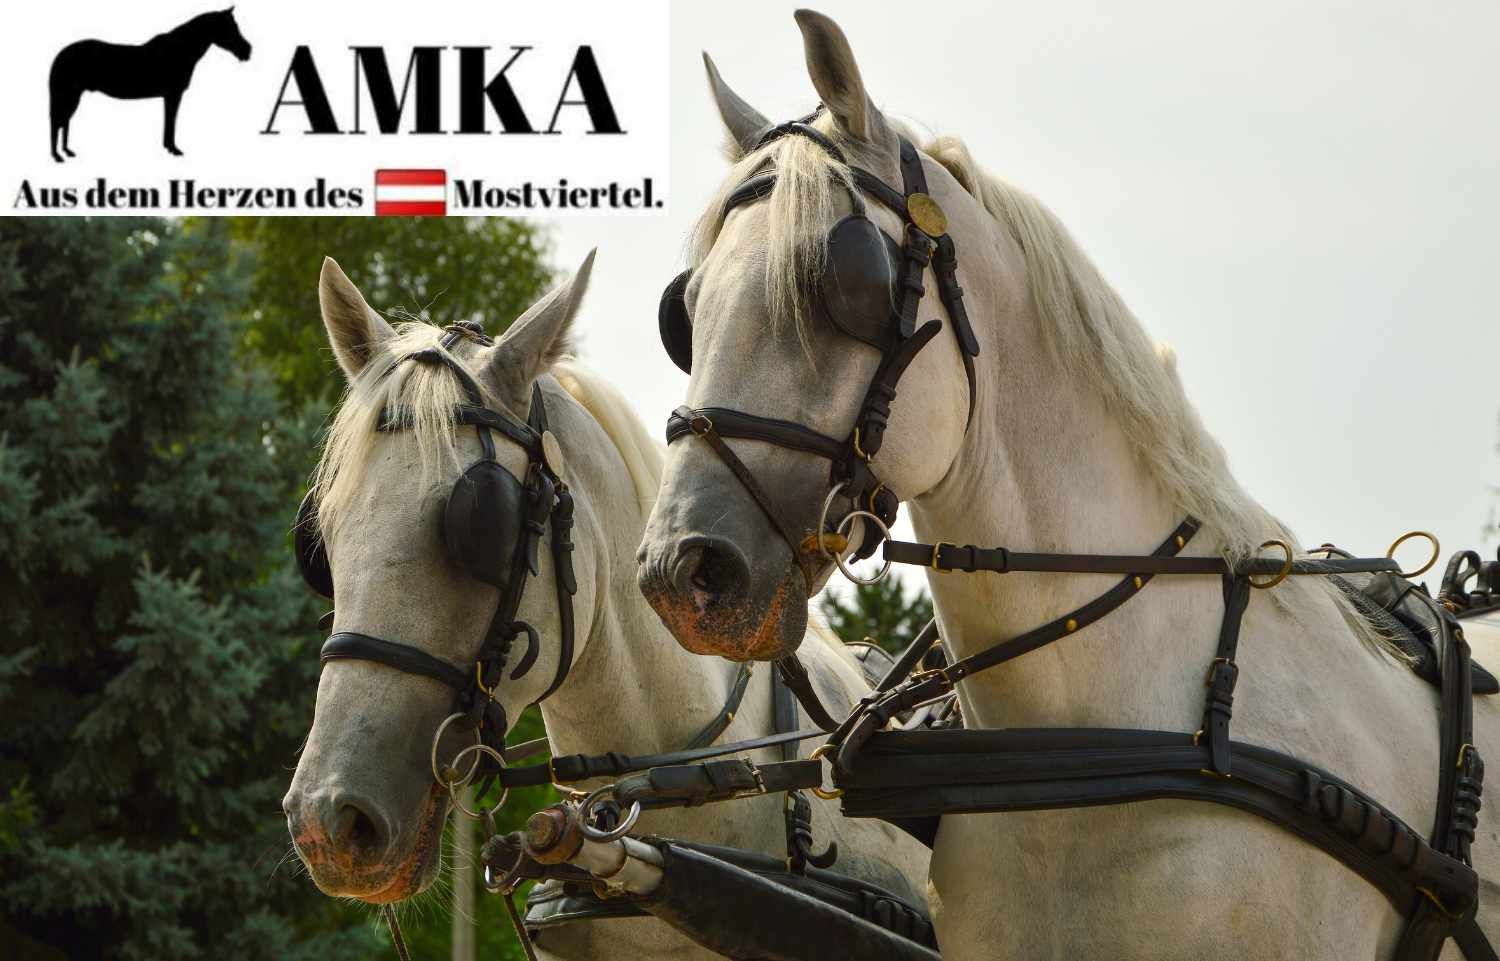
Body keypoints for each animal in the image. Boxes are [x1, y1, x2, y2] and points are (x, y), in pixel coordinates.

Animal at [48, 7, 251, 162]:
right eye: (230, 28)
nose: (247, 50)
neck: (179, 51)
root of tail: (61, 55)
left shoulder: (170, 96)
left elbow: (170, 121)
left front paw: (169, 147)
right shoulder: (173, 95)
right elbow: (171, 121)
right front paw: (174, 149)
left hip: (73, 96)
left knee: (64, 121)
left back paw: (67, 152)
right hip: (68, 95)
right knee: (57, 122)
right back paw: (57, 156)